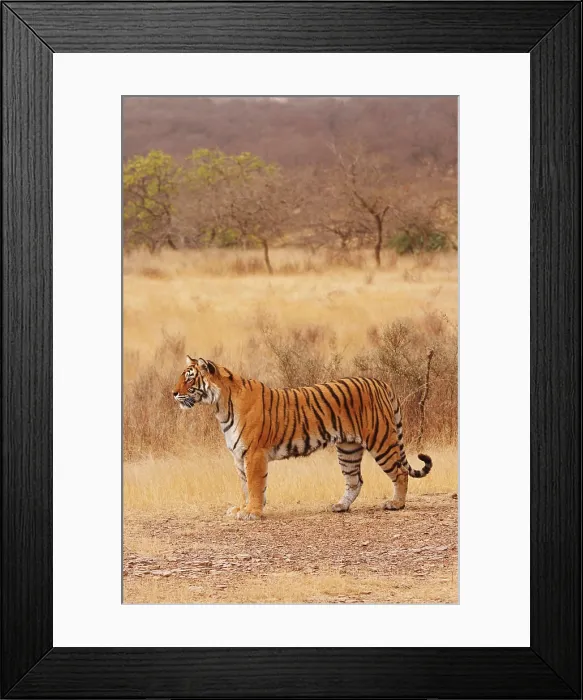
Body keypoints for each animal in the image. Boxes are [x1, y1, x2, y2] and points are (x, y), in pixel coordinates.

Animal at [173, 355, 432, 520]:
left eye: (189, 378)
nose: (173, 393)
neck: (220, 407)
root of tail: (380, 382)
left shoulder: (254, 454)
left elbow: (255, 485)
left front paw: (252, 512)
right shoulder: (239, 456)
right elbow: (245, 486)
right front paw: (243, 508)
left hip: (381, 440)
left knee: (400, 472)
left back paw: (396, 504)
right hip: (348, 448)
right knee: (355, 480)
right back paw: (340, 506)